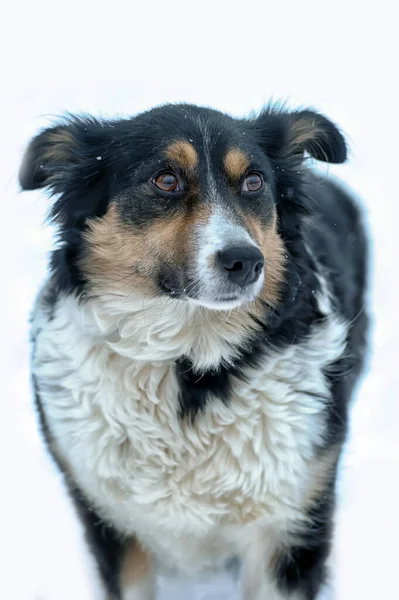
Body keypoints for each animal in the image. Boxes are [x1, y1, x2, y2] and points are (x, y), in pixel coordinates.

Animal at [18, 102, 368, 596]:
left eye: (254, 182)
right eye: (166, 180)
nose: (246, 261)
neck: (191, 366)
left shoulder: (292, 521)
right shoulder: (110, 519)